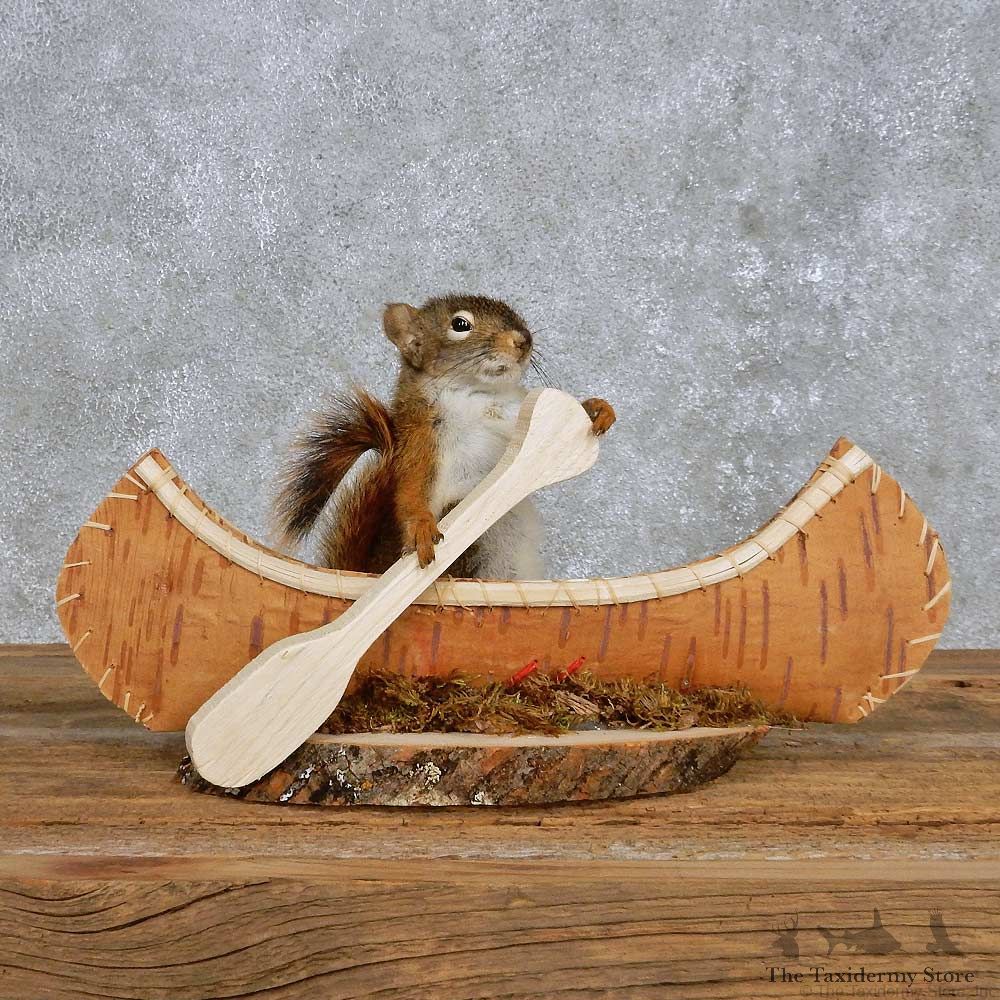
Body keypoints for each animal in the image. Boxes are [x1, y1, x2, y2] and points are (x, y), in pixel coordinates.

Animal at [272, 294, 615, 579]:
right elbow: (411, 488)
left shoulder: (513, 414)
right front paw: (422, 527)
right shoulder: (421, 437)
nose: (523, 340)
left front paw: (595, 409)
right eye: (460, 324)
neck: (477, 394)